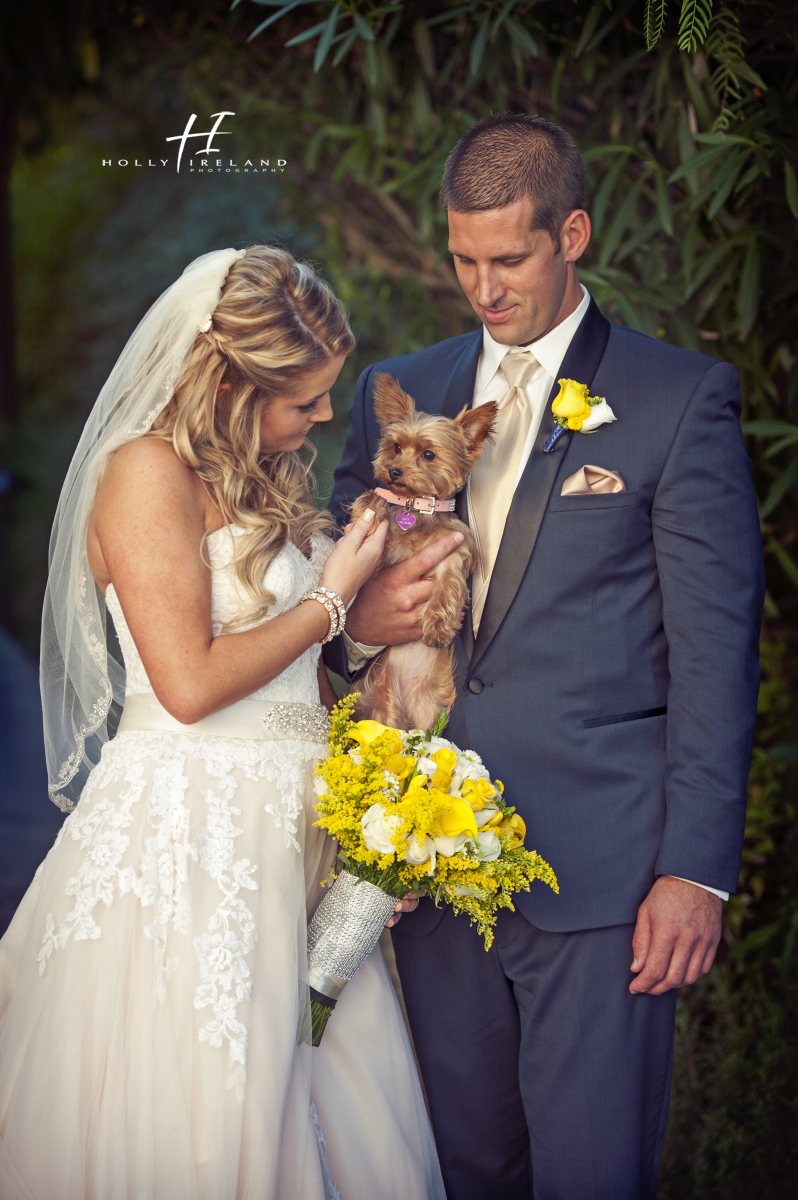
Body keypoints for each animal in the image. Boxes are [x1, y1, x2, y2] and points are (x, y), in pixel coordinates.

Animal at [350, 374, 494, 729]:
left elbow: (446, 590)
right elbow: (373, 514)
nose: (393, 471)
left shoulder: (452, 557)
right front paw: (370, 508)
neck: (416, 510)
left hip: (428, 709)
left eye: (428, 455)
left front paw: (438, 628)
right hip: (381, 701)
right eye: (395, 447)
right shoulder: (381, 561)